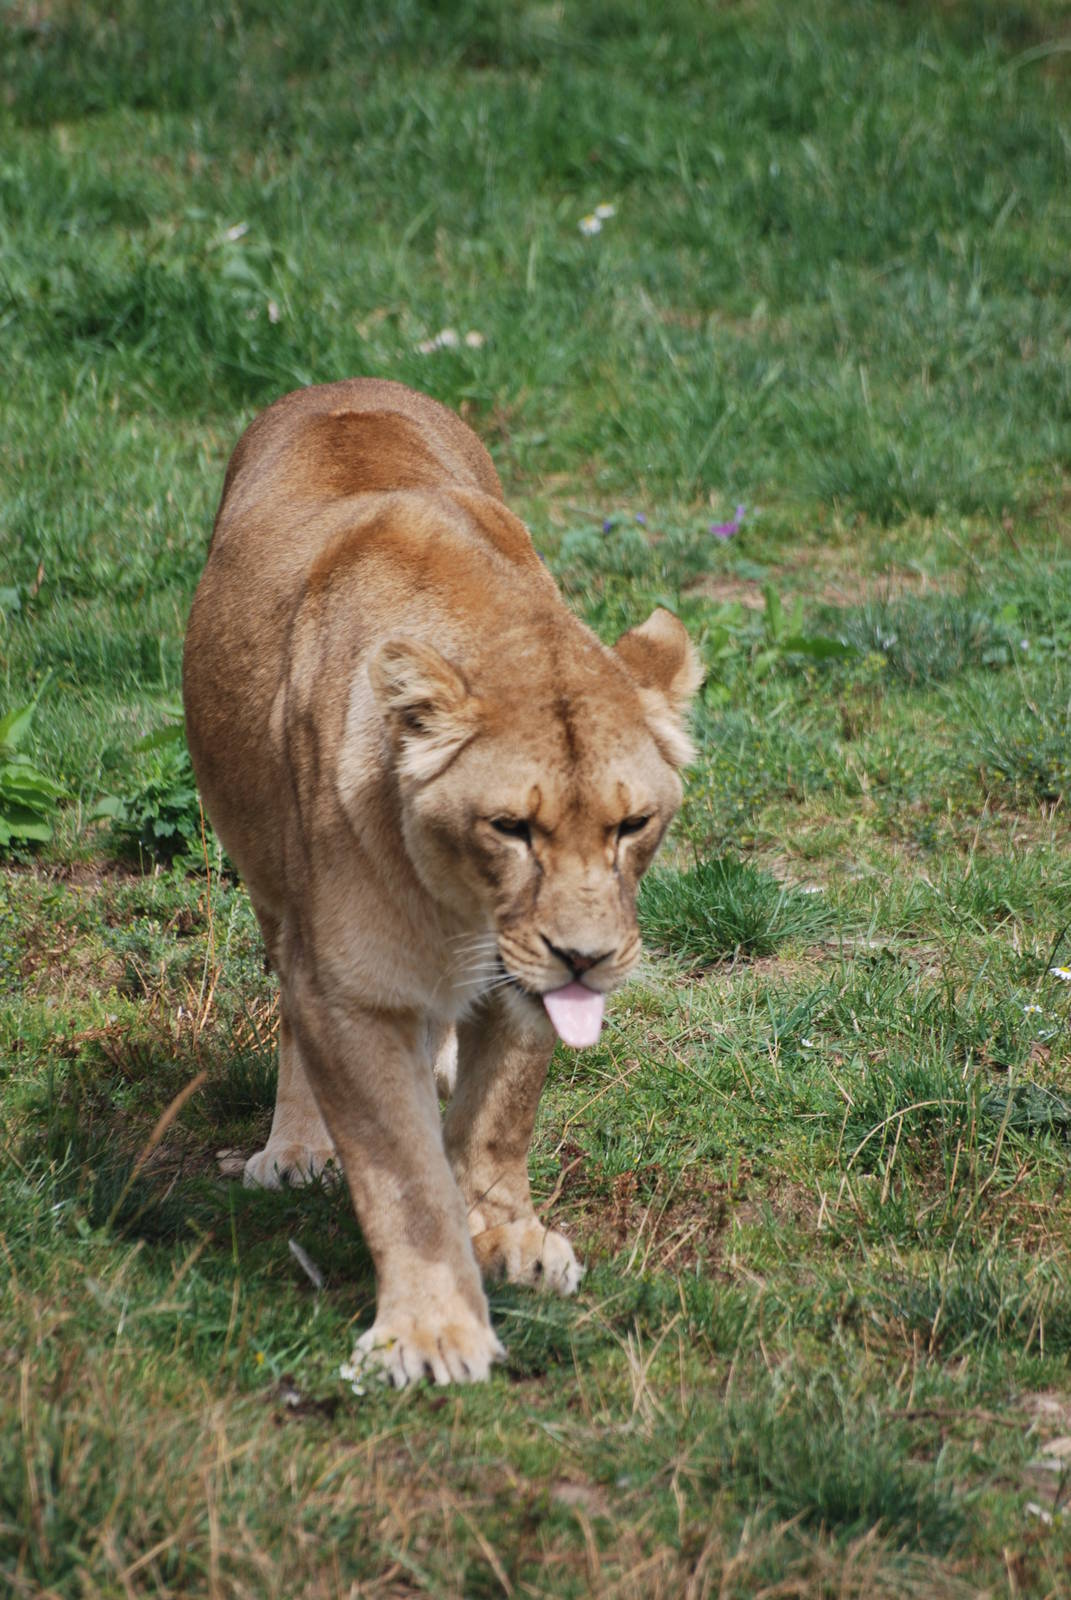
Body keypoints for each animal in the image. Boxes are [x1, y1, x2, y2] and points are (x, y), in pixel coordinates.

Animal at [182, 378, 701, 1387]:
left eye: (630, 826)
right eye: (511, 828)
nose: (586, 959)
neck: (462, 911)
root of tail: (341, 386)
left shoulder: (522, 988)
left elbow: (494, 1122)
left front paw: (506, 1236)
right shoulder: (352, 990)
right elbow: (404, 1175)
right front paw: (431, 1330)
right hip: (270, 886)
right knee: (292, 1016)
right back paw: (295, 1147)